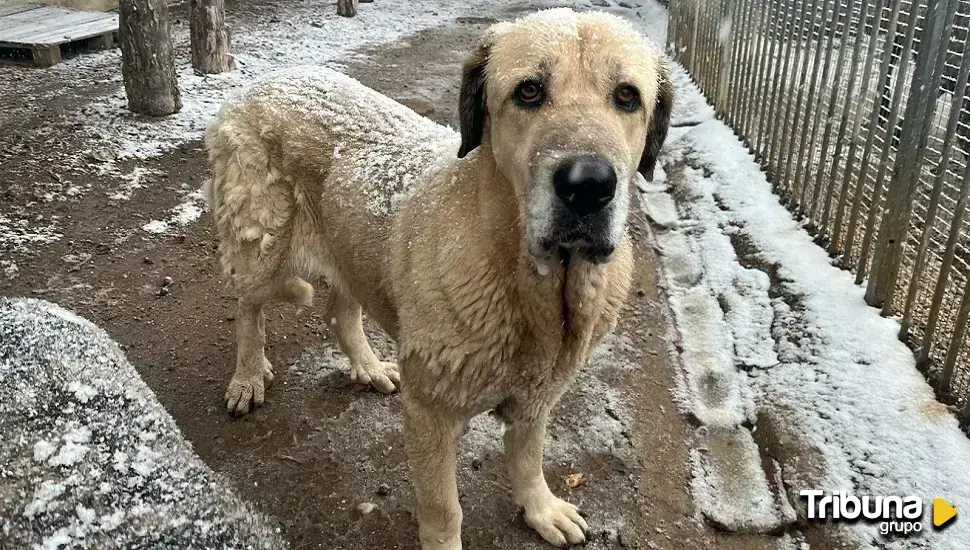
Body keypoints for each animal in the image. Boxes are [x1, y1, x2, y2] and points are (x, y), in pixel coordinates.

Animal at [202, 7, 672, 548]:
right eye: (529, 91)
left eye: (627, 96)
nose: (589, 185)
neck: (528, 283)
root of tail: (263, 82)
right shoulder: (431, 412)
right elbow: (443, 508)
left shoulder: (537, 397)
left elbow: (528, 460)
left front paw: (541, 508)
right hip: (260, 243)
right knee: (248, 306)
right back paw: (247, 377)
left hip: (353, 245)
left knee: (340, 311)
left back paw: (367, 366)